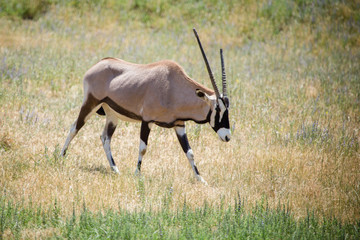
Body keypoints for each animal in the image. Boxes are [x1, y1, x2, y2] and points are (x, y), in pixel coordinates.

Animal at [60, 29, 231, 184]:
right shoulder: (147, 120)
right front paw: (137, 174)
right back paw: (60, 157)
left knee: (105, 138)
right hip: (91, 103)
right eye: (217, 109)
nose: (227, 136)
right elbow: (143, 147)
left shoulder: (179, 125)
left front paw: (200, 179)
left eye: (228, 110)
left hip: (112, 115)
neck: (172, 86)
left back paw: (115, 169)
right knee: (74, 127)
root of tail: (98, 64)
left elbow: (189, 152)